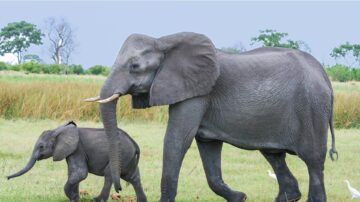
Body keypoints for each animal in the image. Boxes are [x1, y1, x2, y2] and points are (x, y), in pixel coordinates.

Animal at [7, 121, 147, 202]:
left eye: (41, 147)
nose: (7, 178)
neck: (58, 131)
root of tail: (134, 143)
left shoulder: (78, 149)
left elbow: (80, 173)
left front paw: (73, 198)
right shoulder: (71, 151)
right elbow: (74, 174)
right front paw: (75, 199)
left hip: (121, 155)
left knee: (109, 175)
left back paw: (97, 200)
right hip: (128, 158)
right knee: (133, 177)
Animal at [85, 32, 338, 201]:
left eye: (135, 66)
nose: (119, 189)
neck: (164, 41)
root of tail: (324, 75)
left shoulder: (198, 93)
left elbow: (177, 140)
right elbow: (207, 146)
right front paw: (240, 197)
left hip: (312, 109)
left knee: (313, 161)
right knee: (274, 156)